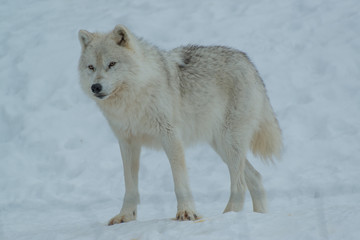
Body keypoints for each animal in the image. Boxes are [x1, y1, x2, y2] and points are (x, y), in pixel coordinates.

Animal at [78, 24, 282, 225]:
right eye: (91, 67)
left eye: (112, 64)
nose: (95, 87)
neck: (134, 98)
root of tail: (246, 60)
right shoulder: (127, 142)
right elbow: (129, 185)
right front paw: (126, 216)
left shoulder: (170, 136)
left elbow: (179, 179)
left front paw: (187, 212)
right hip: (222, 146)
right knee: (255, 177)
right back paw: (258, 217)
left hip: (230, 143)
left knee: (240, 185)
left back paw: (226, 216)